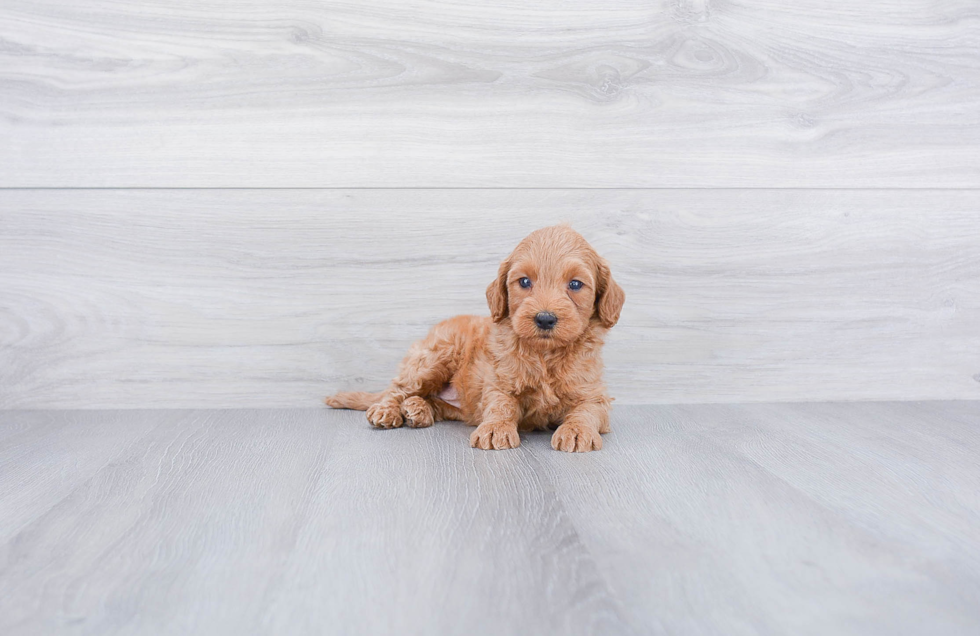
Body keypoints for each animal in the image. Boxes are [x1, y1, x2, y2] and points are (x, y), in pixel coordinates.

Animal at [326, 225, 624, 452]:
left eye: (575, 284)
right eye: (524, 282)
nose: (545, 319)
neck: (544, 353)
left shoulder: (593, 393)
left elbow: (587, 410)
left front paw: (576, 430)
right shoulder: (499, 382)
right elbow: (501, 404)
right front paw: (495, 429)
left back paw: (417, 410)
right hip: (434, 357)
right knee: (397, 388)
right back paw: (388, 410)